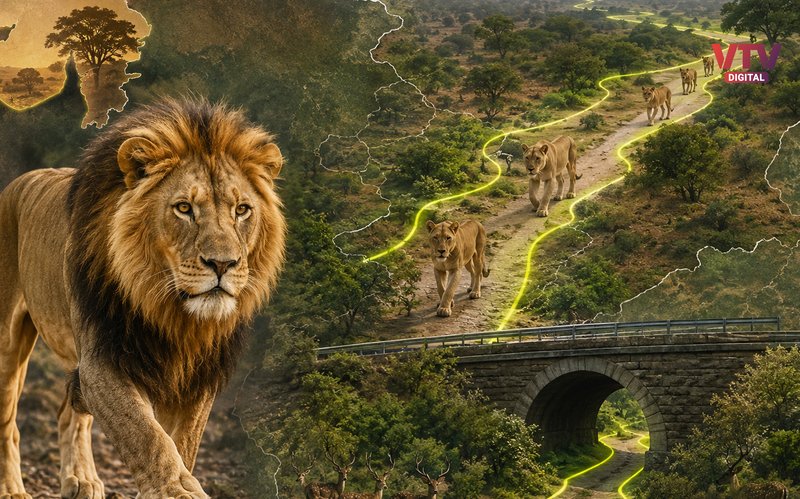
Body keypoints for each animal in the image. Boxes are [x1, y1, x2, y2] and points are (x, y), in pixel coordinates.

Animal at [0, 98, 286, 499]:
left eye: (242, 209)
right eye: (184, 208)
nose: (223, 264)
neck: (172, 312)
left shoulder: (196, 375)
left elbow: (182, 442)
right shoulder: (104, 359)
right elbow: (147, 436)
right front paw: (178, 489)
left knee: (69, 414)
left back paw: (81, 480)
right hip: (8, 343)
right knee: (8, 423)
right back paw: (12, 488)